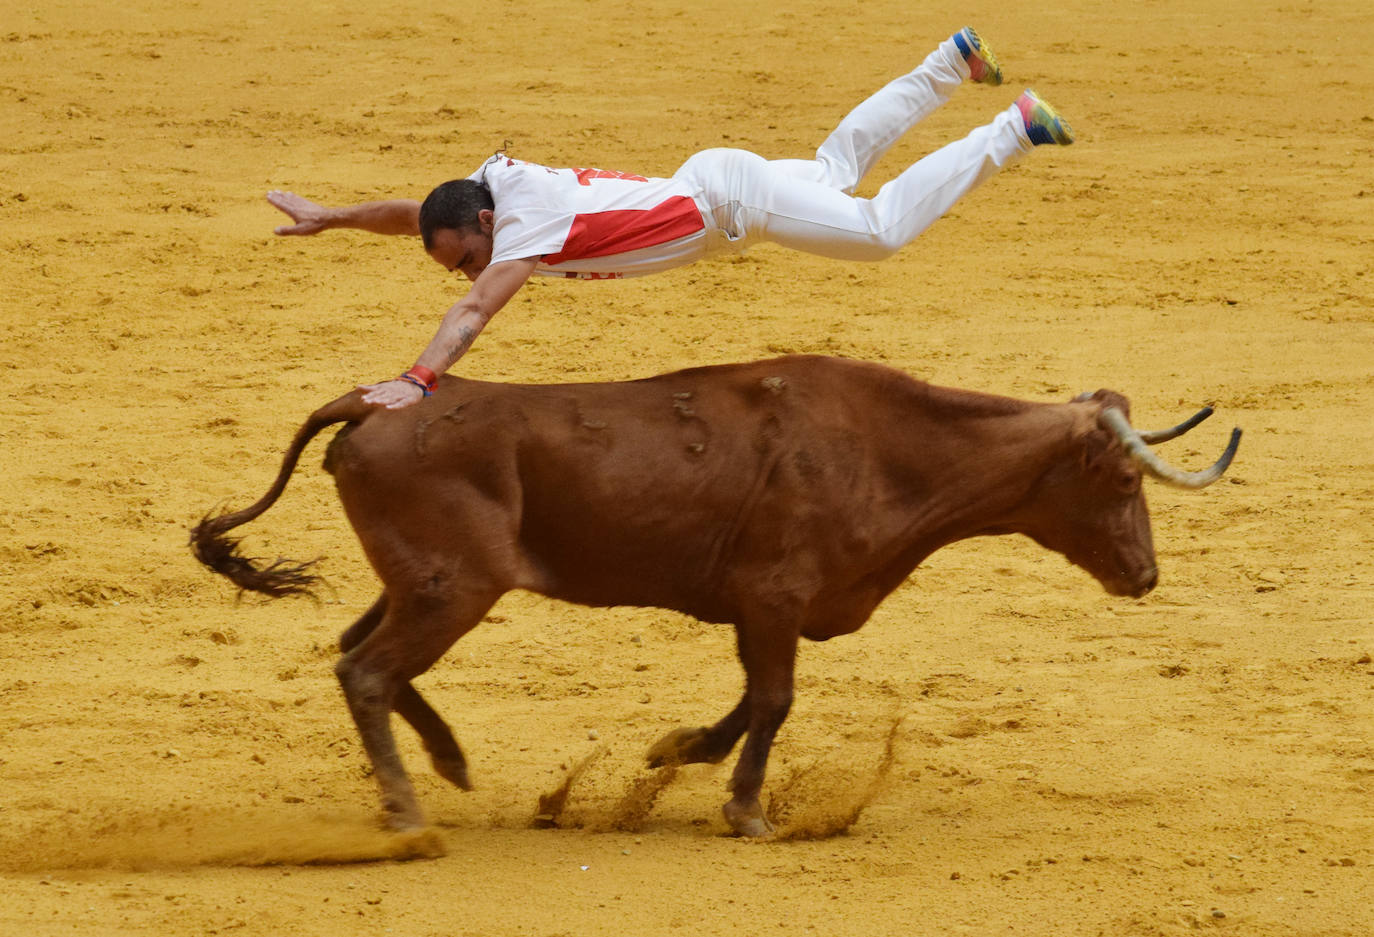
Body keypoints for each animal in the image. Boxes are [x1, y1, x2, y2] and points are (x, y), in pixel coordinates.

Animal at [190, 354, 1236, 835]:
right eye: (1125, 480)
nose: (1144, 574)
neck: (893, 451)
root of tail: (375, 400)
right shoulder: (775, 597)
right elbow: (774, 700)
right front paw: (746, 811)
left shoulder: (759, 606)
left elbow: (745, 703)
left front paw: (670, 751)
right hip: (458, 586)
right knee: (367, 669)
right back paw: (409, 806)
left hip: (425, 581)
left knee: (352, 649)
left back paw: (448, 763)